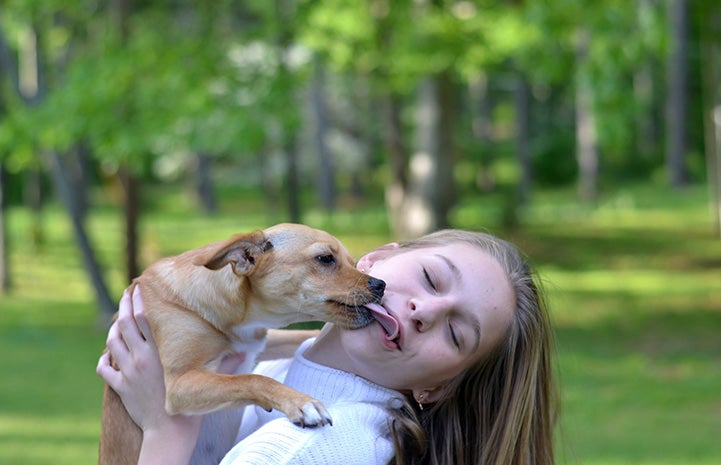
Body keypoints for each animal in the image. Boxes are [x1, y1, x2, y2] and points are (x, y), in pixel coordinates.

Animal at [100, 223, 388, 464]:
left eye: (353, 262)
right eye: (326, 259)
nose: (381, 284)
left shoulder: (257, 343)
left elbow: (298, 339)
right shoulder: (180, 384)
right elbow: (251, 379)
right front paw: (301, 403)